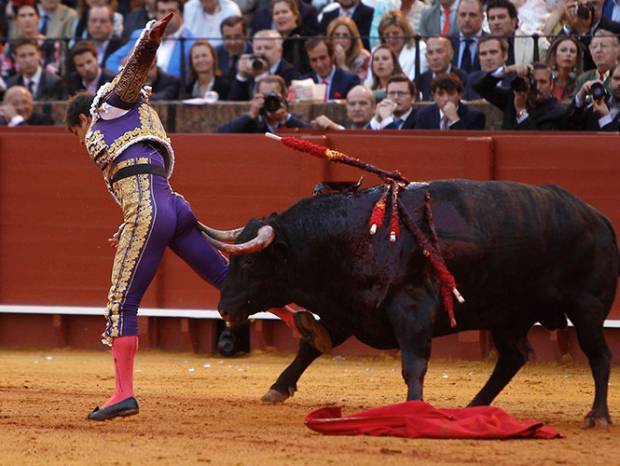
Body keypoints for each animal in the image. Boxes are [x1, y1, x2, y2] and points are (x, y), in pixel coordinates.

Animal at [216, 180, 616, 428]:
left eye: (249, 263)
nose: (224, 310)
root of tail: (599, 218)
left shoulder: (411, 310)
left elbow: (414, 364)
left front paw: (413, 409)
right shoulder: (348, 311)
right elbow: (309, 347)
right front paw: (277, 389)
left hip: (586, 309)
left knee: (599, 355)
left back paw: (597, 415)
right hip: (507, 315)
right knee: (513, 357)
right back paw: (475, 406)